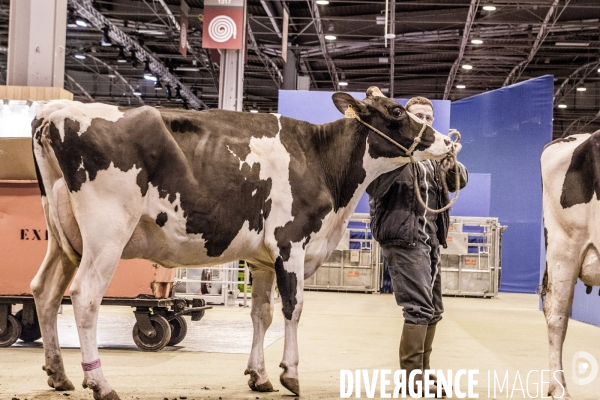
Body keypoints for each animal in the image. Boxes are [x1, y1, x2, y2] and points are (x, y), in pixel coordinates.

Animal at [31, 88, 454, 400]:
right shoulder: (290, 242)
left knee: (44, 290)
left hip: (64, 237)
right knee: (84, 295)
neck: (321, 161)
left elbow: (261, 314)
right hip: (107, 230)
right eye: (397, 112)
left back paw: (58, 374)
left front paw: (258, 375)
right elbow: (293, 308)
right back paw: (99, 383)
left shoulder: (262, 259)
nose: (448, 143)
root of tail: (55, 112)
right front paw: (290, 374)